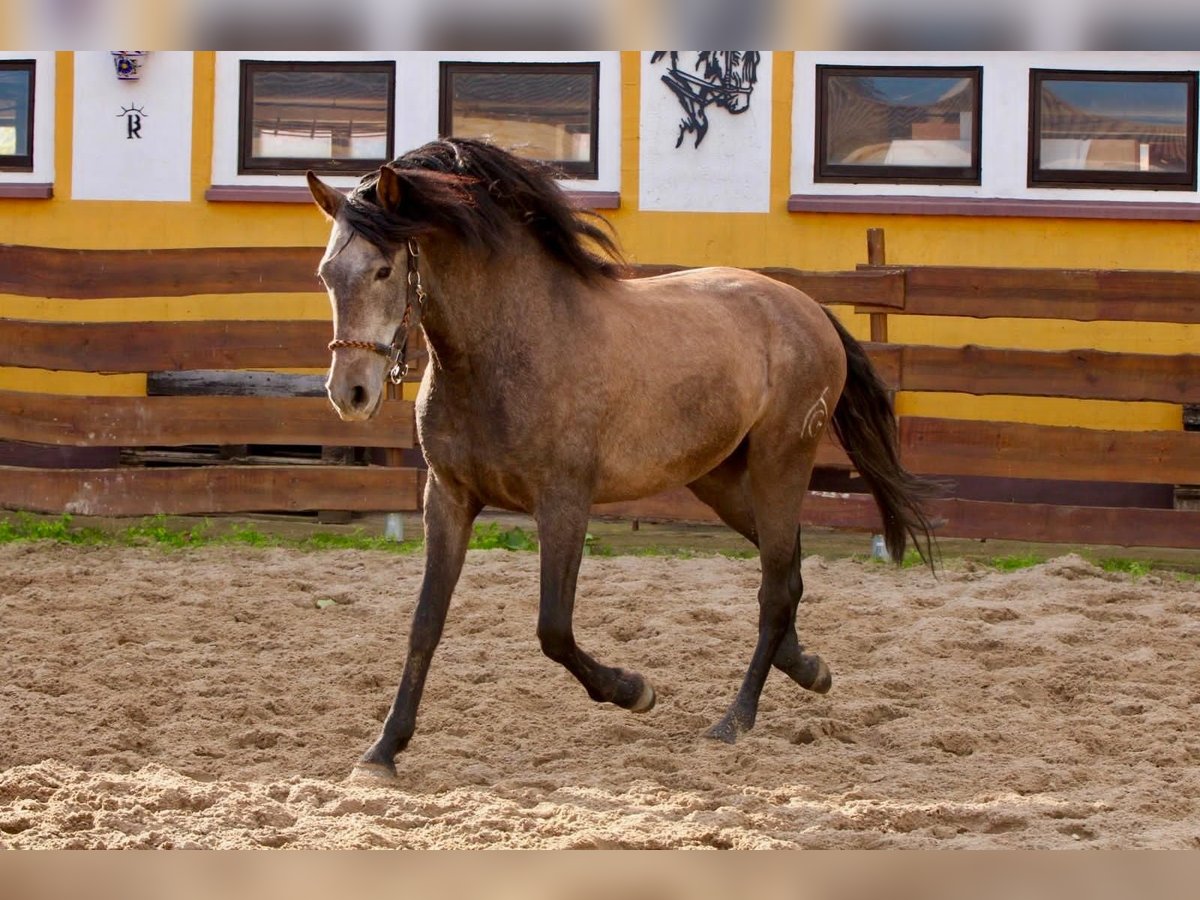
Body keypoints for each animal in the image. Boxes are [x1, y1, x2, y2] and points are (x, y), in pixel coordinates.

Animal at [306, 138, 935, 779]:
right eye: (327, 273)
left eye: (385, 270)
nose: (349, 393)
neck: (508, 350)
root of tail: (809, 308)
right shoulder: (449, 498)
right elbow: (425, 624)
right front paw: (382, 752)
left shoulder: (563, 503)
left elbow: (553, 629)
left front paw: (634, 691)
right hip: (720, 479)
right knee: (787, 571)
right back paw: (809, 669)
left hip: (780, 462)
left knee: (776, 587)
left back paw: (734, 722)